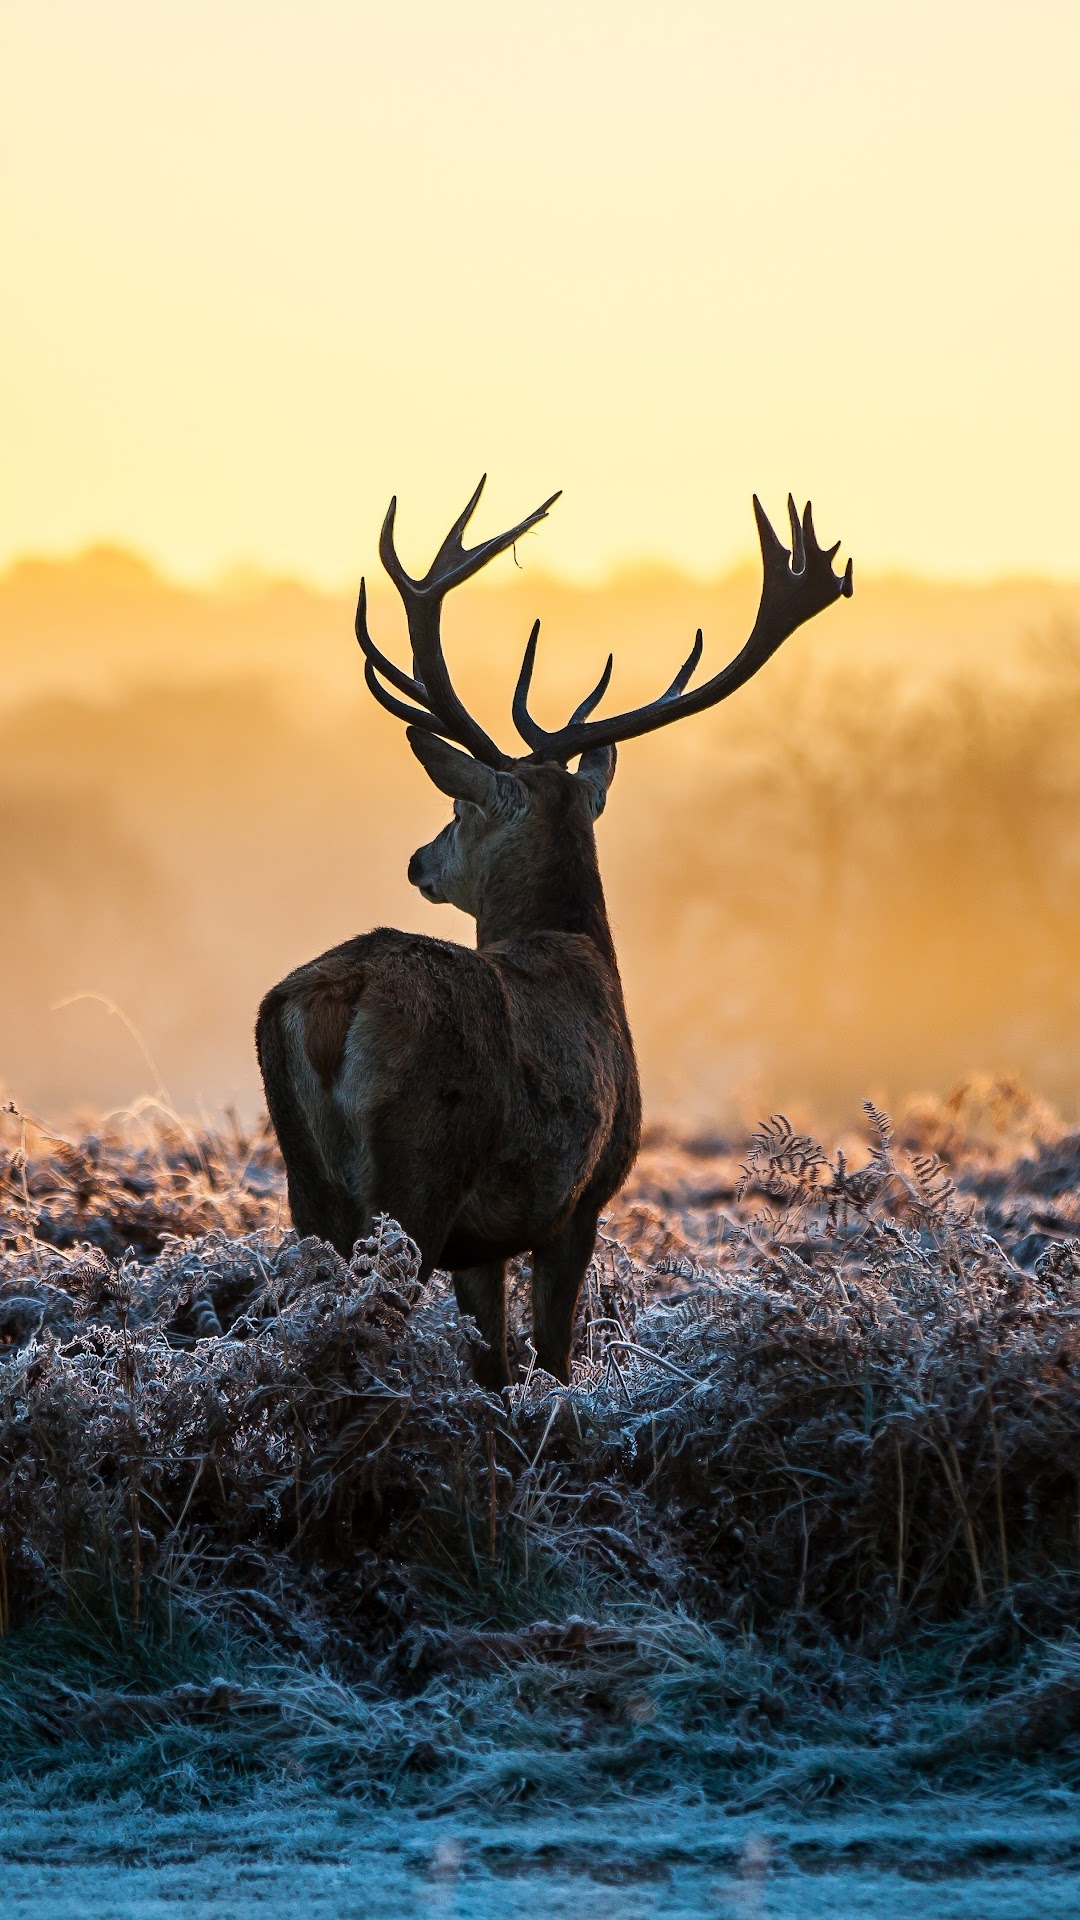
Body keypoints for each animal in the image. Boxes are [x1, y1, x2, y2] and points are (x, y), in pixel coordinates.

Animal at [256, 480, 852, 1387]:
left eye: (459, 807)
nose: (418, 860)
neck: (580, 950)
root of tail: (334, 1000)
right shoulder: (580, 1198)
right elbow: (553, 1360)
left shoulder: (486, 1241)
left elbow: (494, 1364)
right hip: (420, 1171)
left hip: (308, 1186)